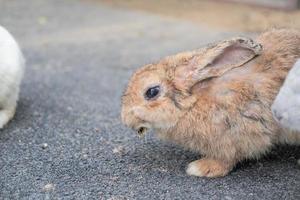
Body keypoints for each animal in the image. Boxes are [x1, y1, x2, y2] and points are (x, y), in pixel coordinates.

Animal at [120, 28, 298, 177]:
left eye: (152, 92)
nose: (126, 120)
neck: (193, 102)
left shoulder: (240, 133)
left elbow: (229, 158)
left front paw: (201, 168)